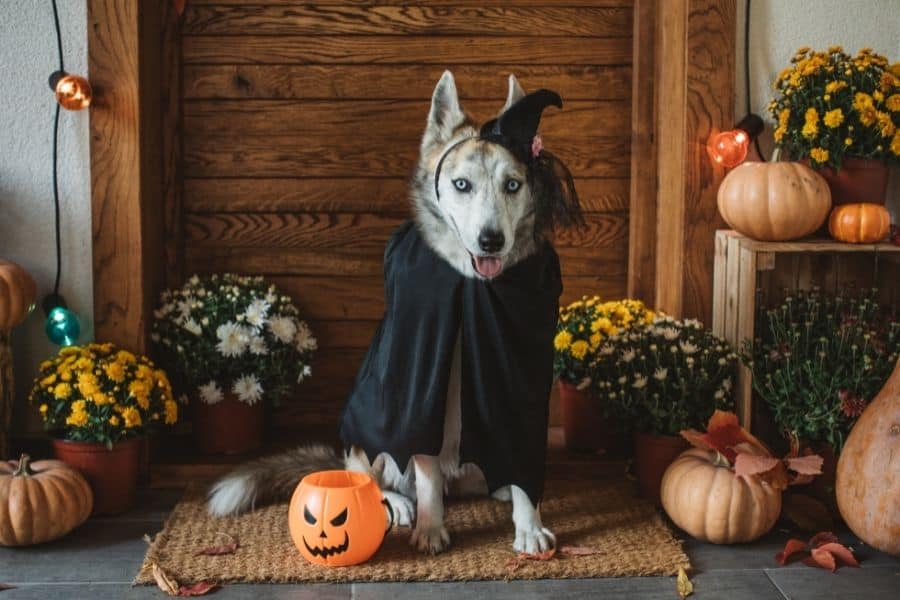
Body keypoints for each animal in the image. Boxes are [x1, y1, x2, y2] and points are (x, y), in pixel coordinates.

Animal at [206, 72, 584, 556]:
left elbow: (521, 470)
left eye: (513, 185)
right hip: (366, 431)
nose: (491, 240)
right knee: (367, 474)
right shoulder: (417, 392)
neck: (471, 290)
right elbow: (423, 470)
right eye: (462, 185)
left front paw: (529, 525)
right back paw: (396, 502)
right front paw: (430, 528)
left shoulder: (519, 384)